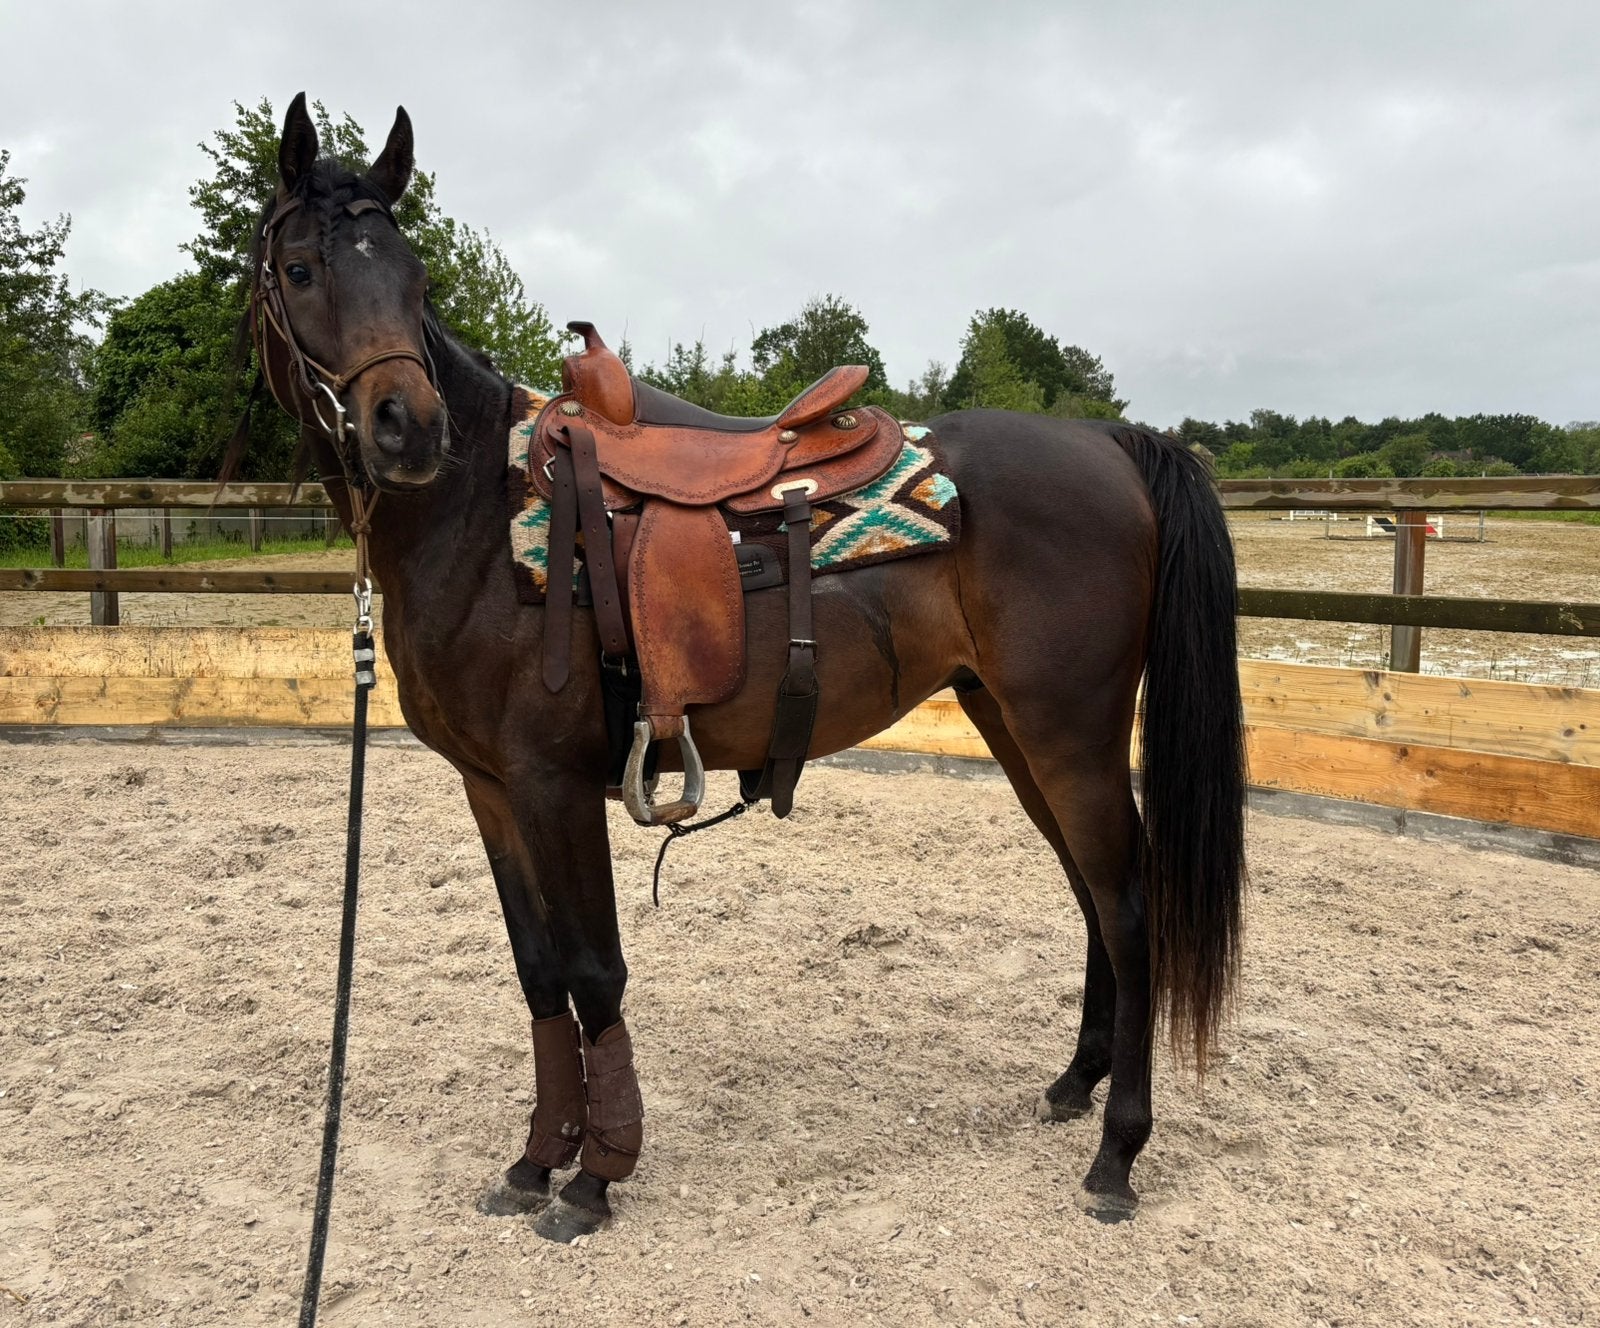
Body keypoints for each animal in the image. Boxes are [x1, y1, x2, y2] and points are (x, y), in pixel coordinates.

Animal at [245, 93, 1247, 1243]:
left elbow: (594, 972)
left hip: (1067, 731)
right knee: (1093, 895)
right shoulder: (489, 788)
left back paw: (1117, 1152)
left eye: (413, 279)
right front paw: (537, 1157)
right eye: (303, 268)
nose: (408, 430)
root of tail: (1110, 442)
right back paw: (1074, 1084)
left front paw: (596, 1174)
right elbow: (539, 974)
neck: (480, 515)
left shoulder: (552, 785)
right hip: (1013, 724)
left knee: (1126, 909)